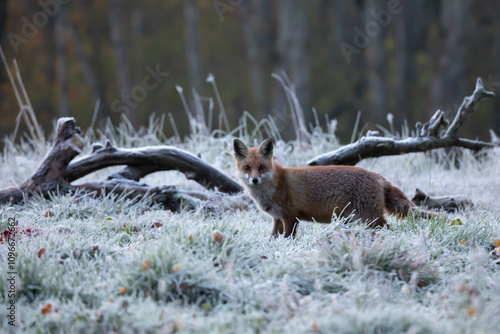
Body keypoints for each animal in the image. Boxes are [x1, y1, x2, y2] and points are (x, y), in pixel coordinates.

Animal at [232, 138, 440, 237]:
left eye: (261, 167)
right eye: (247, 168)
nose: (254, 180)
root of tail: (378, 176)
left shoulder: (291, 217)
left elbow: (287, 238)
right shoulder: (277, 218)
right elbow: (273, 238)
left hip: (369, 218)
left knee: (389, 229)